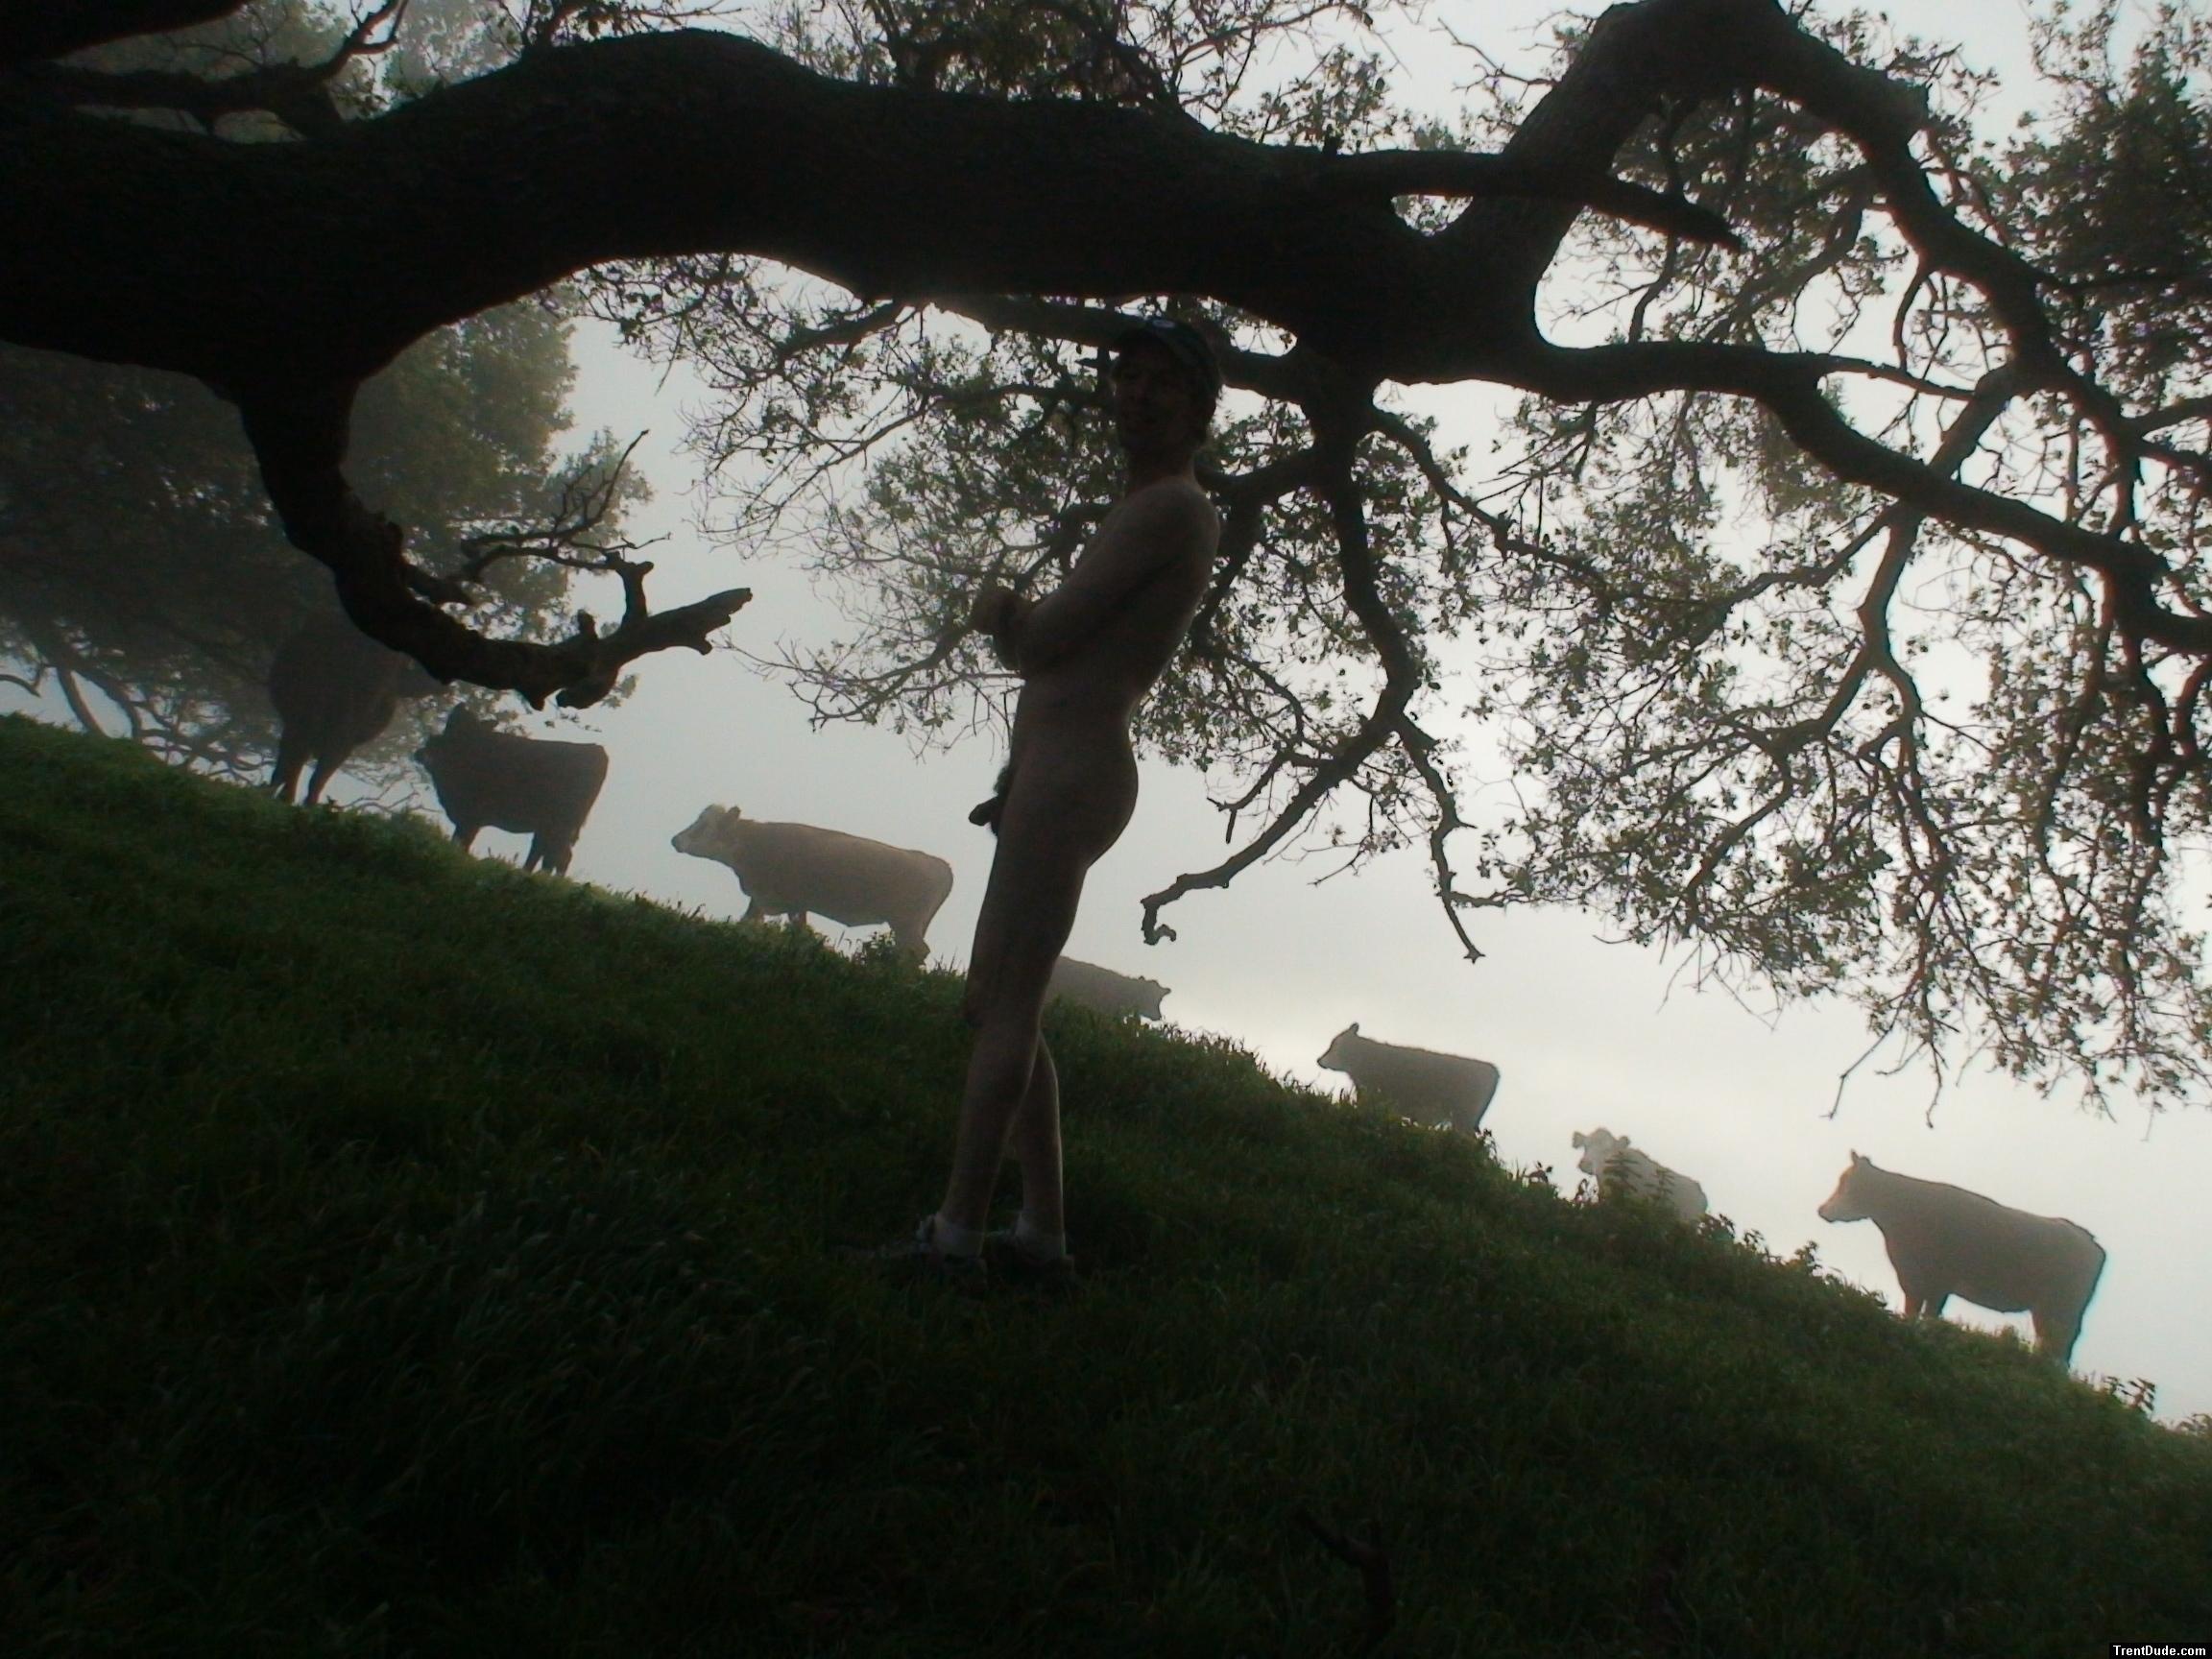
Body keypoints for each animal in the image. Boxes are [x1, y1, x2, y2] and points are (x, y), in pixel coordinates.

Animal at [413, 706, 609, 877]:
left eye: (437, 738)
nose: (419, 754)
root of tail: (597, 750)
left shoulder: (471, 817)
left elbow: (461, 843)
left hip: (561, 824)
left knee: (557, 856)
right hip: (551, 826)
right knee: (547, 852)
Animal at [671, 804, 954, 961]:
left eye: (704, 826)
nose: (675, 840)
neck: (756, 843)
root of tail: (938, 863)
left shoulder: (790, 900)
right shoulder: (766, 899)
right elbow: (750, 924)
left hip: (907, 922)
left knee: (917, 952)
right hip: (911, 925)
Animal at [1817, 1152, 2107, 1364]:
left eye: (1847, 1185)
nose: (1822, 1210)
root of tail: (2091, 1242)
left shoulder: (1935, 1280)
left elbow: (1926, 1317)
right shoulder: (1916, 1280)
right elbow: (1914, 1313)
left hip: (2061, 1307)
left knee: (2058, 1348)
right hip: (2049, 1309)